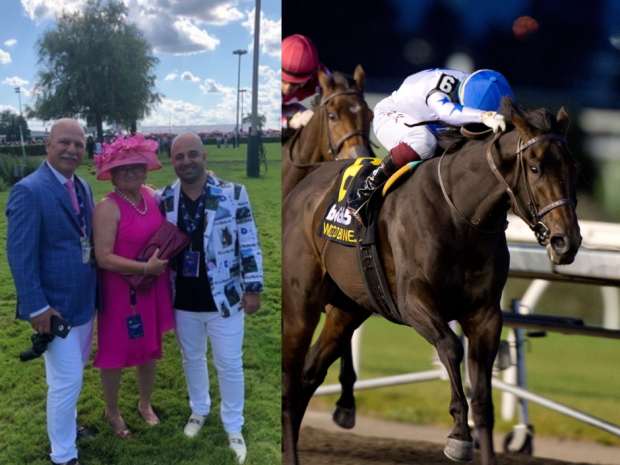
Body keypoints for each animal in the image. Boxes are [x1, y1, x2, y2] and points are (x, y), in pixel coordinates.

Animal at [280, 99, 580, 464]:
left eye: (573, 167)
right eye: (535, 168)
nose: (567, 241)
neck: (460, 215)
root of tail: (301, 189)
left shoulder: (485, 315)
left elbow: (483, 401)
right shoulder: (413, 302)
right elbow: (450, 346)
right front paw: (458, 435)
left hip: (347, 309)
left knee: (309, 374)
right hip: (300, 305)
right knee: (290, 377)